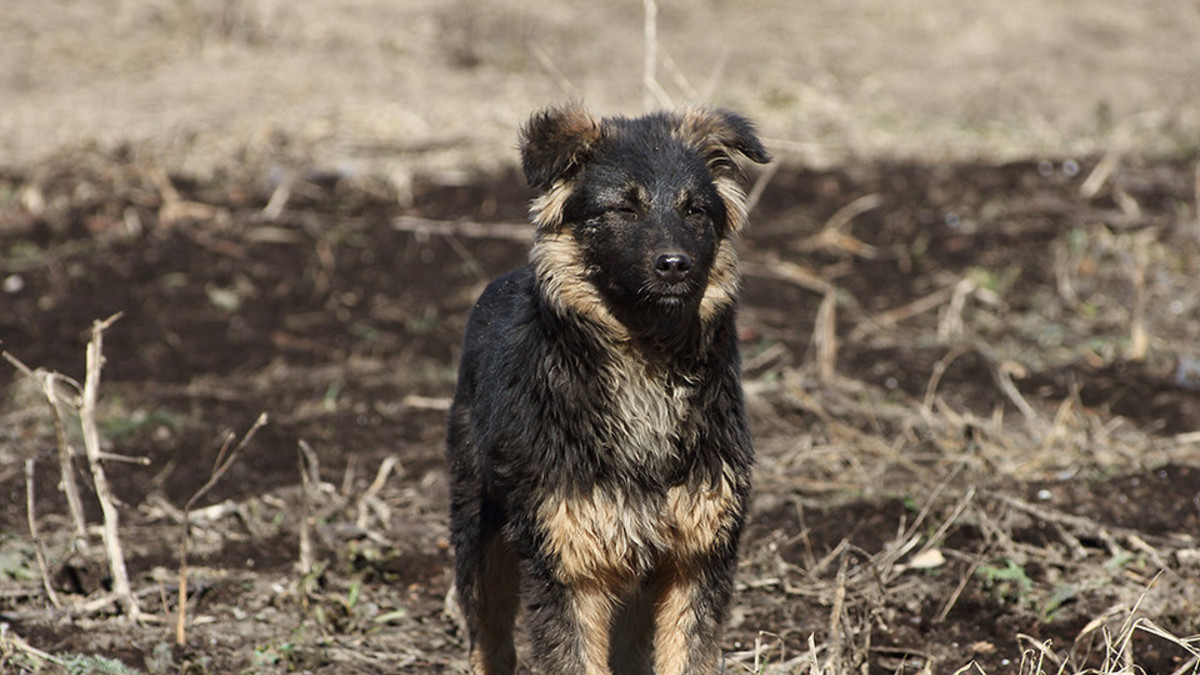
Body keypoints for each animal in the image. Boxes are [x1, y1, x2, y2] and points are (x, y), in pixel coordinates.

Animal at [448, 100, 768, 672]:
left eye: (695, 211)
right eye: (623, 208)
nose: (675, 265)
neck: (644, 360)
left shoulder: (697, 559)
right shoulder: (570, 566)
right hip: (478, 532)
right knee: (490, 636)